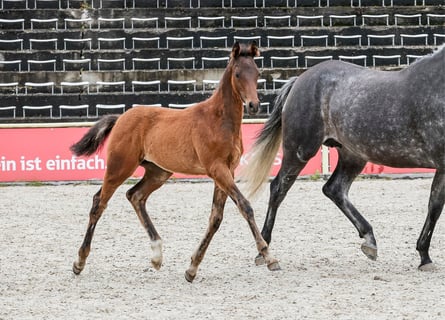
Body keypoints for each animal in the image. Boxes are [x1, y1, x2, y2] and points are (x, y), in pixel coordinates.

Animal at [243, 45, 444, 270]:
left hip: (353, 156)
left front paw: (424, 256)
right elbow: (435, 207)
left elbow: (435, 206)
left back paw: (370, 241)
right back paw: (264, 252)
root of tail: (300, 79)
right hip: (299, 151)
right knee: (278, 188)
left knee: (334, 189)